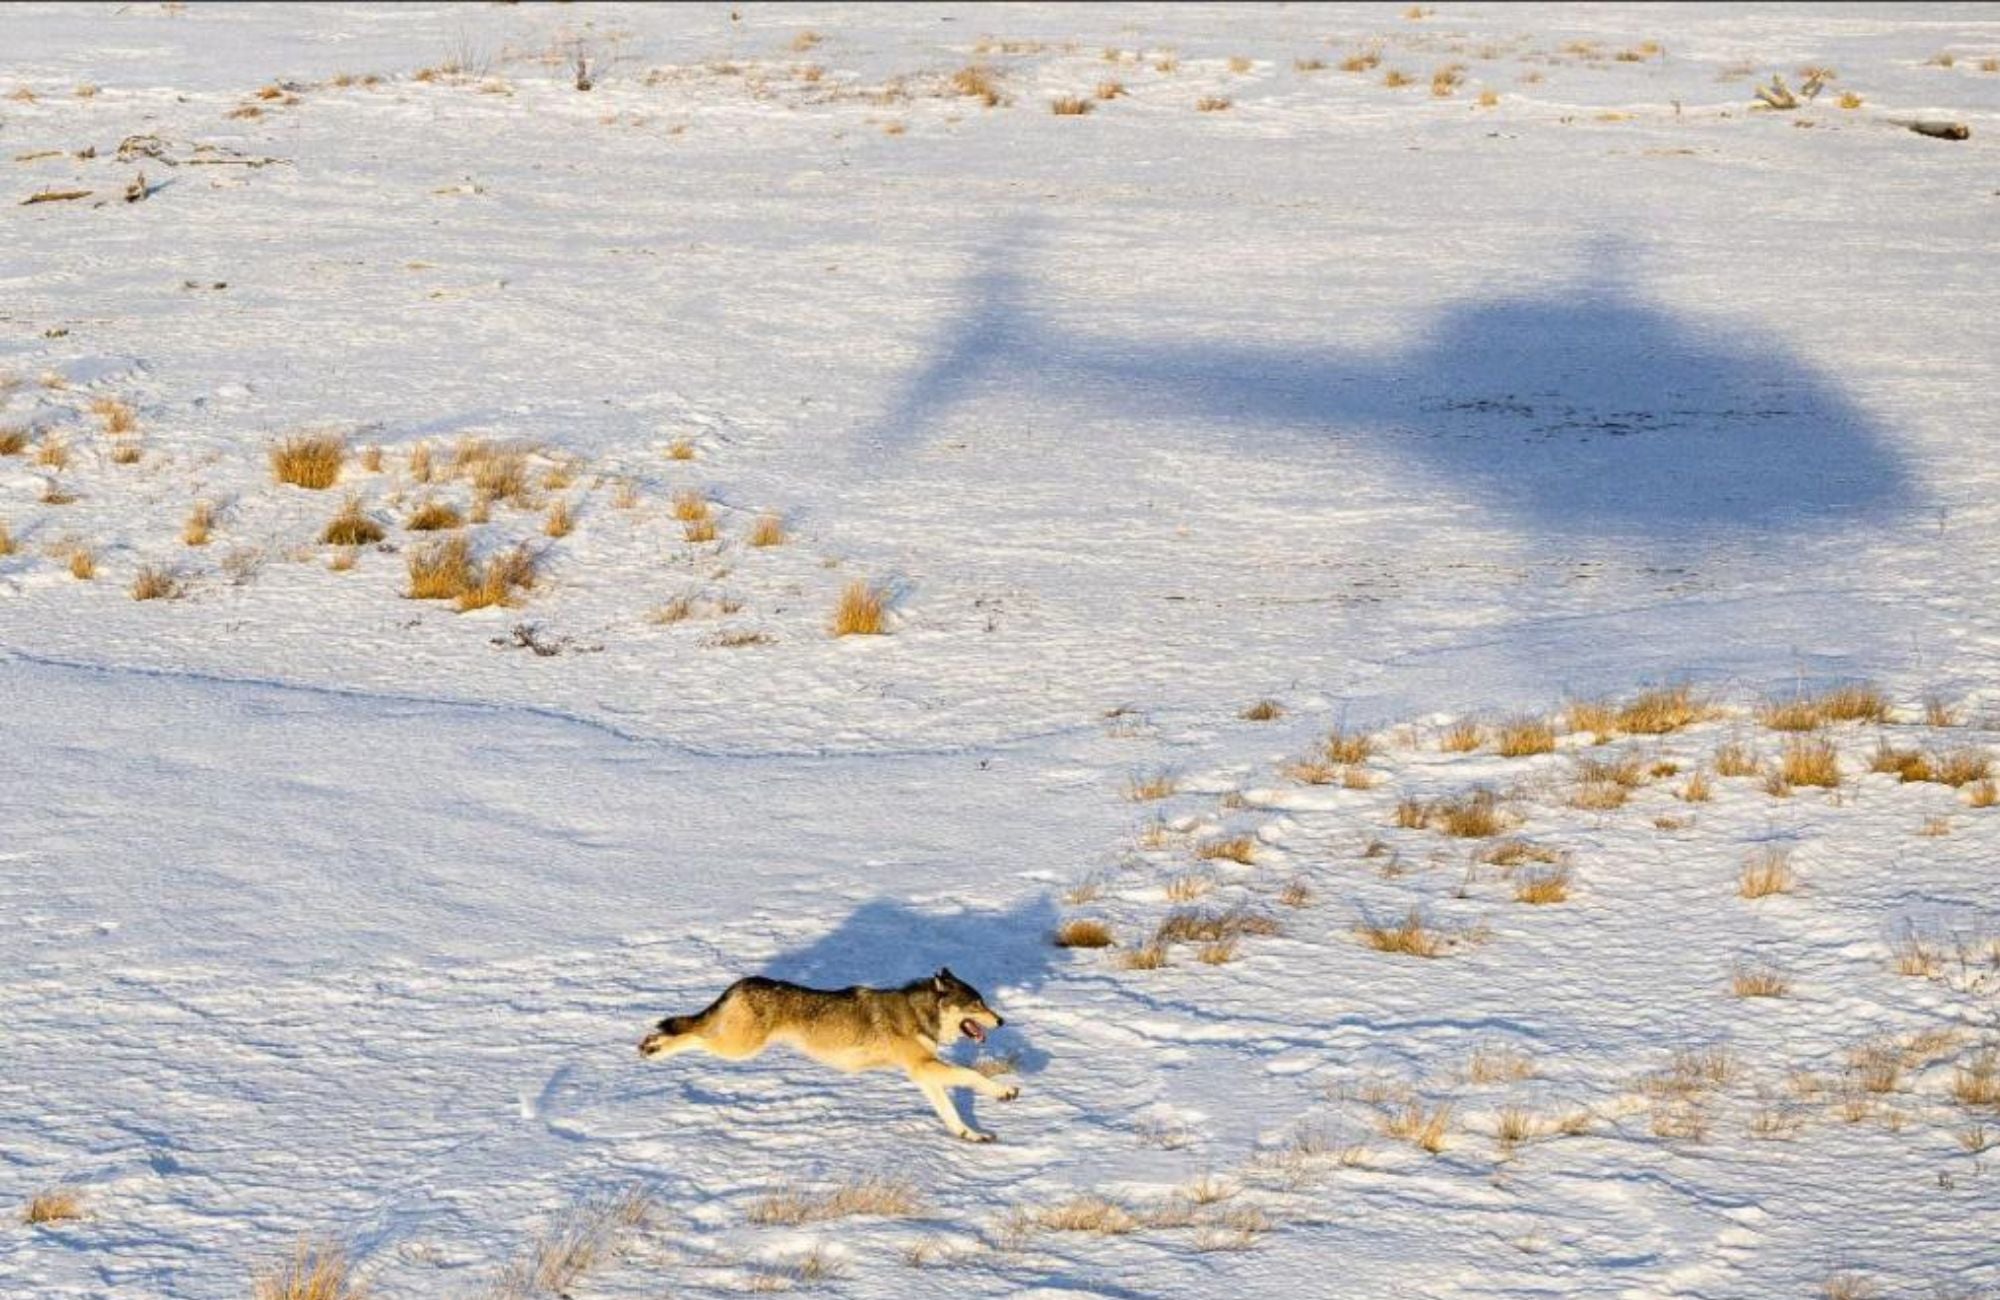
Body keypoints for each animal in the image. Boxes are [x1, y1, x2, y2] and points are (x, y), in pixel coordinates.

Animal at [639, 967, 1019, 1142]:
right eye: (977, 1004)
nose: (1001, 1020)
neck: (919, 1013)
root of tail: (742, 982)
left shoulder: (923, 1073)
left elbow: (950, 1113)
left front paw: (972, 1135)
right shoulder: (923, 1066)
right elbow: (972, 1075)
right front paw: (1006, 1092)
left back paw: (651, 1044)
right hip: (737, 1048)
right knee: (691, 1035)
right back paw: (652, 1048)